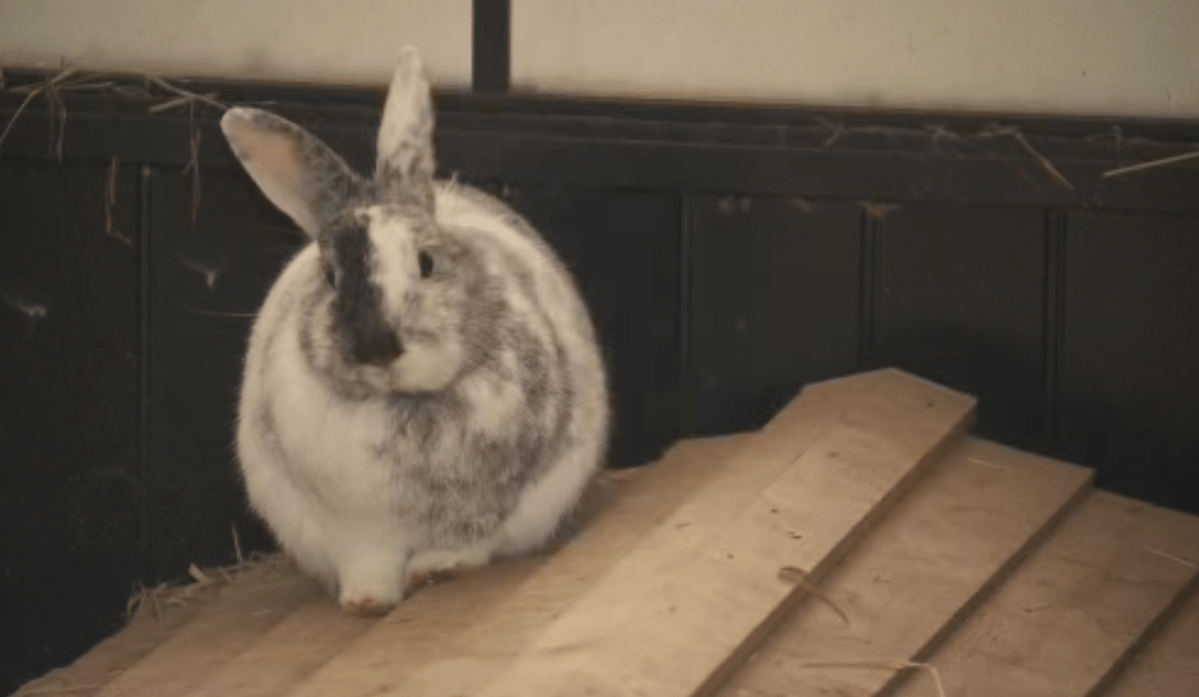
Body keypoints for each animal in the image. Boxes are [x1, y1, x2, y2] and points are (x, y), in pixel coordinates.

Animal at [219, 46, 610, 616]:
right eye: (330, 276)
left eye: (427, 263)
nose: (377, 348)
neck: (405, 402)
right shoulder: (355, 532)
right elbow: (368, 564)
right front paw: (365, 601)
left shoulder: (484, 514)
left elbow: (466, 544)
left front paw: (437, 571)